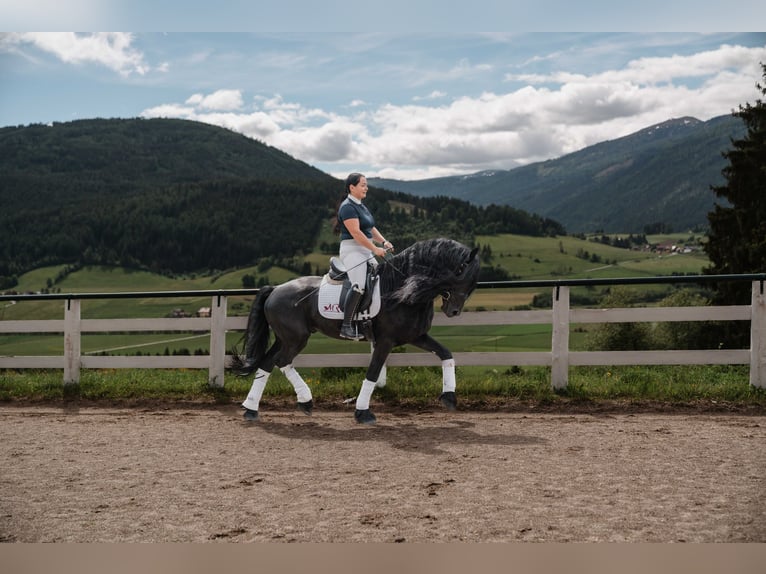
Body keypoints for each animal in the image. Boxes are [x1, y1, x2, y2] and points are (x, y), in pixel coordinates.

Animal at [231, 236, 480, 426]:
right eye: (460, 270)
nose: (453, 311)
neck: (402, 290)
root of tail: (275, 289)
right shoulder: (385, 341)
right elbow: (373, 373)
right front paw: (363, 413)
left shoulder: (416, 336)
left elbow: (446, 354)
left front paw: (449, 397)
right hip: (296, 338)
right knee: (282, 361)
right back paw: (305, 400)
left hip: (285, 337)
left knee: (267, 363)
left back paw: (251, 409)